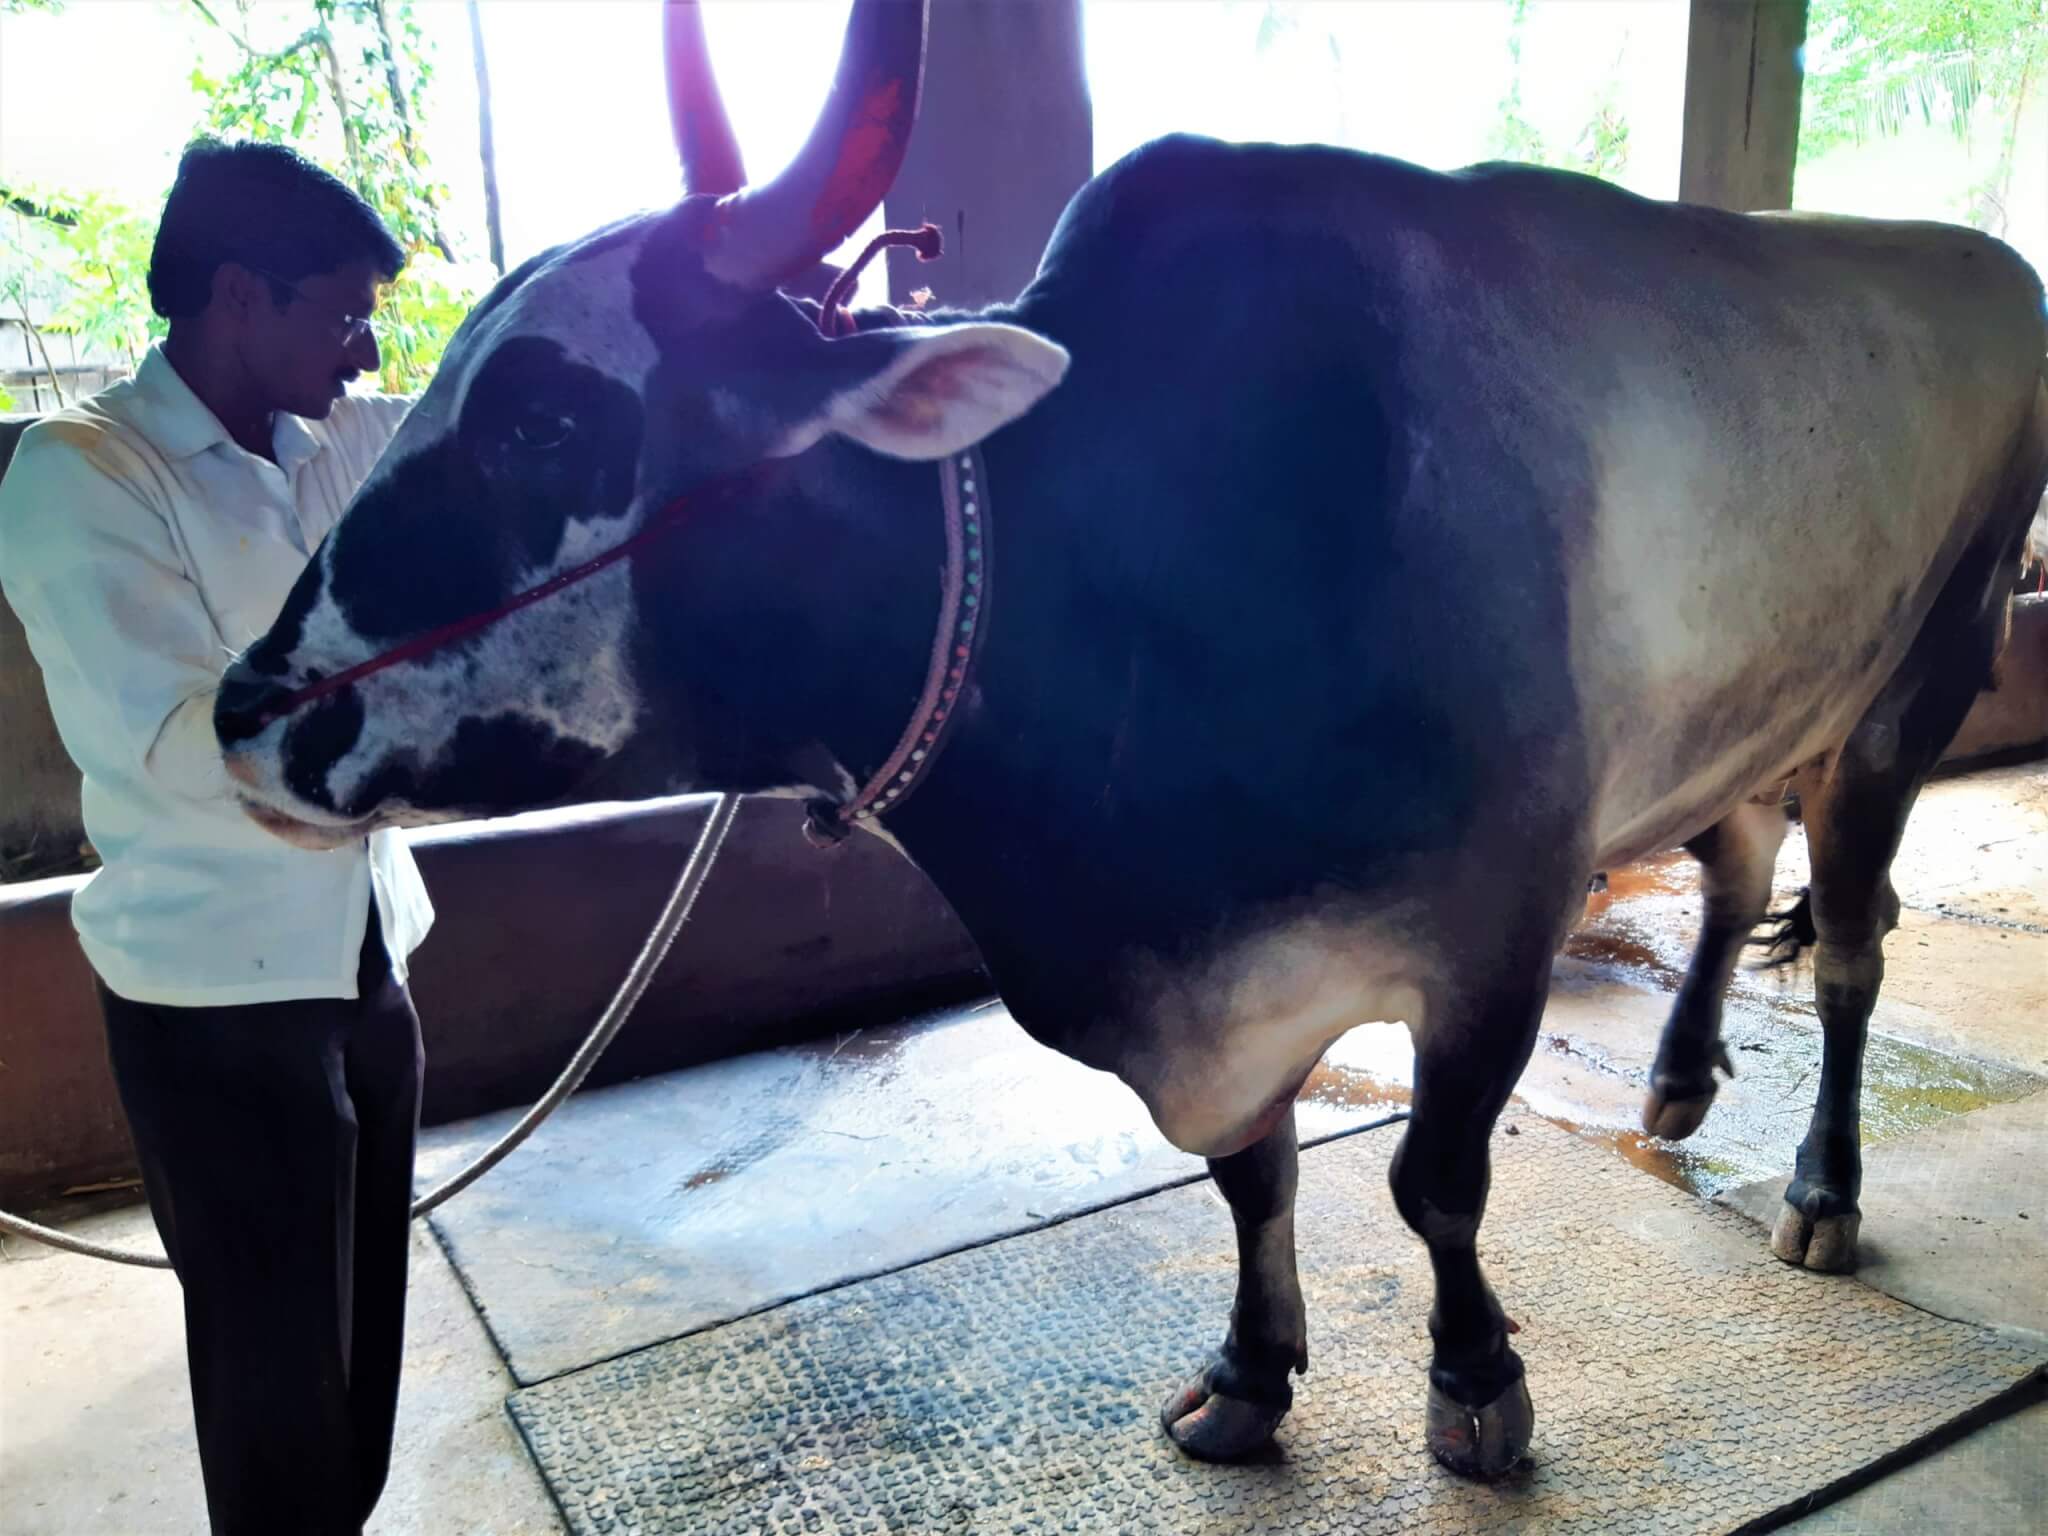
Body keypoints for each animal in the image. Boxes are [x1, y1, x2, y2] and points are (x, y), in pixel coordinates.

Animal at [211, 0, 2048, 1482]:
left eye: (544, 417)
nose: (245, 710)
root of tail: (1977, 258)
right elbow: (1251, 1180)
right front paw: (1247, 1376)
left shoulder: (1491, 932)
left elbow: (1433, 1183)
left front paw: (1474, 1388)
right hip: (1753, 703)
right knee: (1738, 859)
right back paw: (1673, 1081)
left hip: (1918, 681)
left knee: (1851, 951)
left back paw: (1822, 1187)